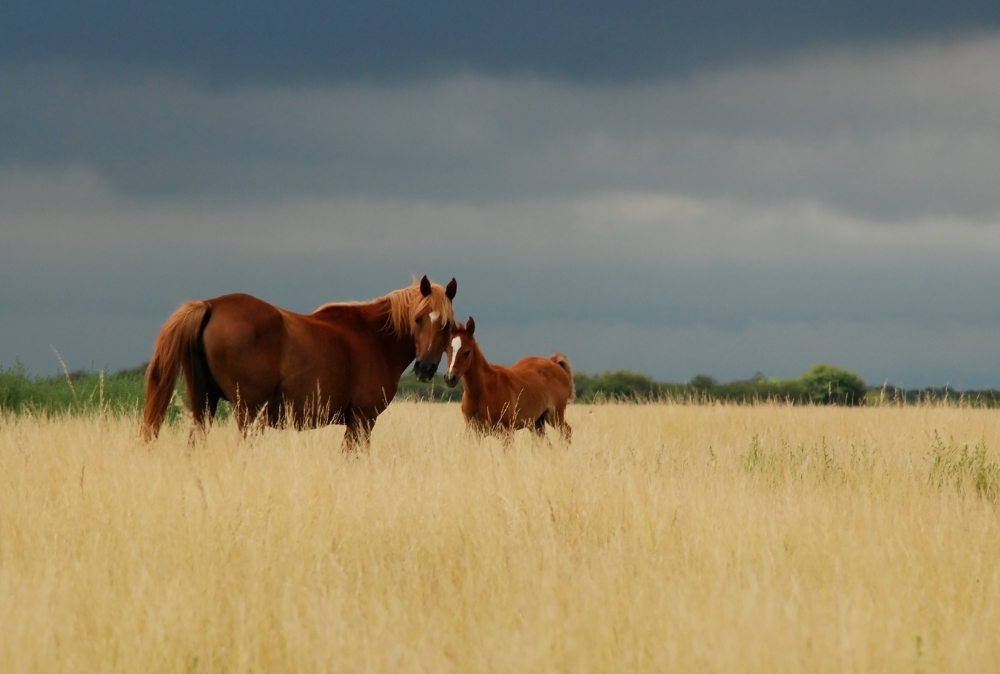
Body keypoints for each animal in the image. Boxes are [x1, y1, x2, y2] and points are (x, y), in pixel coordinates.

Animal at [140, 276, 458, 448]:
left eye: (446, 324)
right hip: (248, 413)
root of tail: (211, 305)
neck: (373, 337)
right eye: (418, 319)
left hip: (203, 403)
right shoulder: (362, 421)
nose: (425, 368)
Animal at [444, 316, 576, 444]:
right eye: (447, 351)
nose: (450, 378)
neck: (484, 390)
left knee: (567, 432)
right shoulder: (474, 432)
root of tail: (554, 363)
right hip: (536, 422)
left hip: (554, 416)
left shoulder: (506, 432)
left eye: (467, 352)